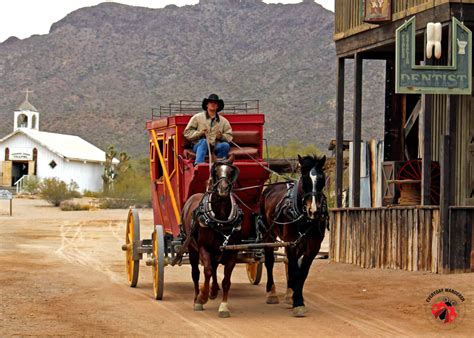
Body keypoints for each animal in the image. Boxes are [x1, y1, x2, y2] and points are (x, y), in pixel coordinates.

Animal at [260, 154, 330, 318]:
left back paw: (289, 293)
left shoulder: (313, 247)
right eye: (304, 179)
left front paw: (296, 299)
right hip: (268, 236)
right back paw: (271, 293)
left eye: (322, 179)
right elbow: (295, 269)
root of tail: (270, 188)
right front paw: (297, 301)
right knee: (269, 262)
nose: (314, 211)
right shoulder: (291, 243)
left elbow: (302, 272)